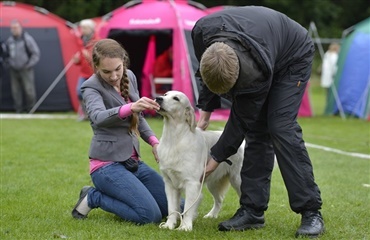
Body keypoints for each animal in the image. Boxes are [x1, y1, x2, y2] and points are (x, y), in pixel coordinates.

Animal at [155, 90, 244, 231]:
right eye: (165, 94)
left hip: (237, 180)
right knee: (219, 200)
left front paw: (185, 227)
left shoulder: (192, 183)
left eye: (176, 98)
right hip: (213, 182)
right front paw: (169, 225)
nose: (158, 98)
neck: (174, 138)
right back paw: (211, 215)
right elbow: (172, 208)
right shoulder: (169, 183)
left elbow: (187, 209)